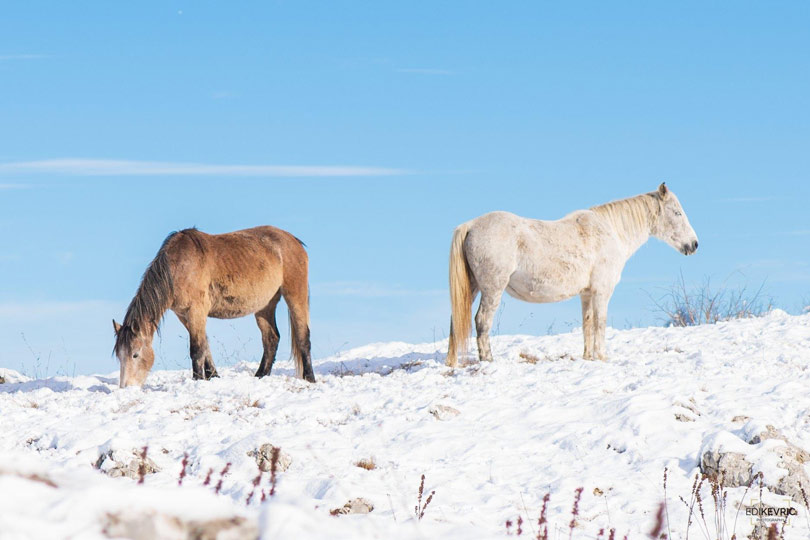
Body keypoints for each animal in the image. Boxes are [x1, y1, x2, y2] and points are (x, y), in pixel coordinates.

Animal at [113, 226, 315, 387]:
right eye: (119, 356)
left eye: (135, 354)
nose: (126, 388)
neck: (179, 266)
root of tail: (293, 240)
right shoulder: (184, 315)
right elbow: (205, 345)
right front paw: (213, 377)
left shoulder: (196, 311)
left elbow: (196, 349)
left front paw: (197, 380)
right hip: (265, 305)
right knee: (271, 338)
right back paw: (260, 376)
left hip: (295, 295)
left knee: (302, 336)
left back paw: (310, 378)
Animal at [446, 183, 698, 366]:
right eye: (677, 213)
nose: (694, 244)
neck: (610, 232)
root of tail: (470, 225)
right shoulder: (602, 291)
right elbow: (600, 323)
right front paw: (602, 356)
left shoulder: (586, 293)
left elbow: (587, 324)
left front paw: (588, 357)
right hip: (492, 289)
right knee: (482, 321)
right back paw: (488, 360)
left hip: (472, 287)